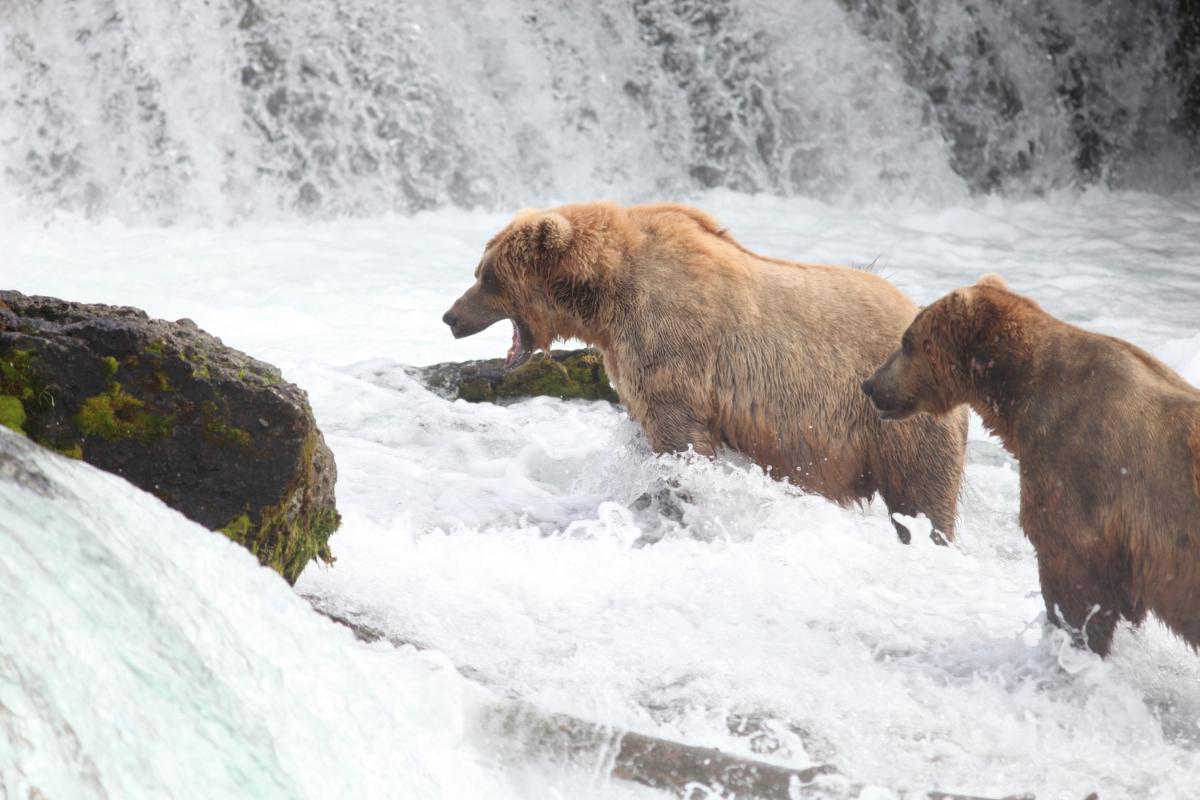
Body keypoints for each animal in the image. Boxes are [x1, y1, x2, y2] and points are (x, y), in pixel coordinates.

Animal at [446, 200, 969, 544]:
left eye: (486, 275)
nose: (451, 317)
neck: (604, 298)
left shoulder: (674, 347)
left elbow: (681, 442)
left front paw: (673, 506)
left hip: (897, 421)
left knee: (921, 495)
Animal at [864, 275, 1200, 657]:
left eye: (907, 341)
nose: (870, 384)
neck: (1022, 395)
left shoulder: (1079, 472)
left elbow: (1074, 574)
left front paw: (1073, 644)